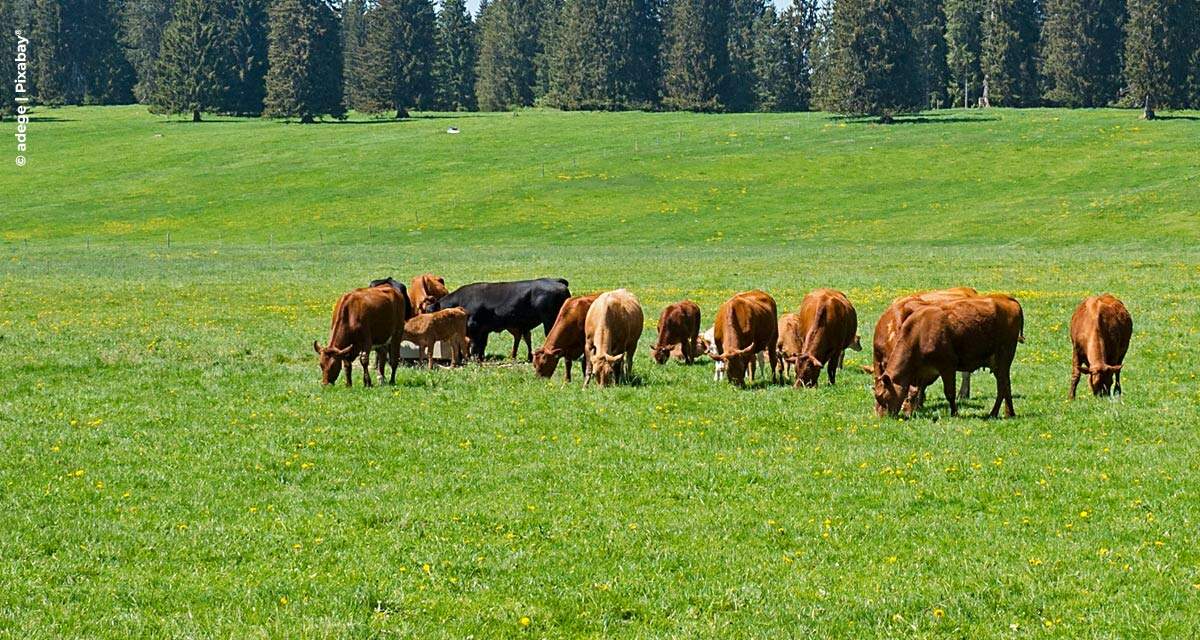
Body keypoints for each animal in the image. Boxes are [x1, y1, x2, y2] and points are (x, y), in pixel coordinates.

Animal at [427, 278, 571, 362]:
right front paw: (481, 358)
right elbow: (481, 346)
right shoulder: (483, 331)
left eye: (429, 312)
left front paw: (474, 359)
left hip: (550, 321)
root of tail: (557, 282)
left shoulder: (474, 328)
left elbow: (475, 346)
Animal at [873, 295, 1022, 420]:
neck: (919, 332)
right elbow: (916, 392)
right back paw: (1009, 413)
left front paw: (955, 413)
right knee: (1006, 385)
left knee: (1002, 386)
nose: (881, 418)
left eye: (882, 397)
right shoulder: (921, 372)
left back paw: (994, 413)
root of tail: (1008, 300)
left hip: (1003, 358)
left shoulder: (948, 366)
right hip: (998, 363)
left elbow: (949, 393)